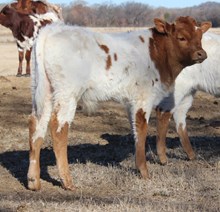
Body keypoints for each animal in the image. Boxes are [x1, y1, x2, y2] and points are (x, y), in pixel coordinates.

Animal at [27, 16, 211, 190]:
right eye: (181, 37)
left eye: (200, 36)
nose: (201, 54)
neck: (157, 54)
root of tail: (53, 30)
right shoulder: (143, 98)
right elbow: (142, 129)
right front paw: (144, 172)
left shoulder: (131, 102)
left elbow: (135, 130)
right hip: (67, 93)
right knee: (58, 127)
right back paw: (67, 181)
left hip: (44, 92)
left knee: (36, 124)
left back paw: (33, 180)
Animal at [156, 31, 220, 164]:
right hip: (178, 89)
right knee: (163, 114)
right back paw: (163, 158)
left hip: (188, 91)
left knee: (179, 116)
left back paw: (191, 156)